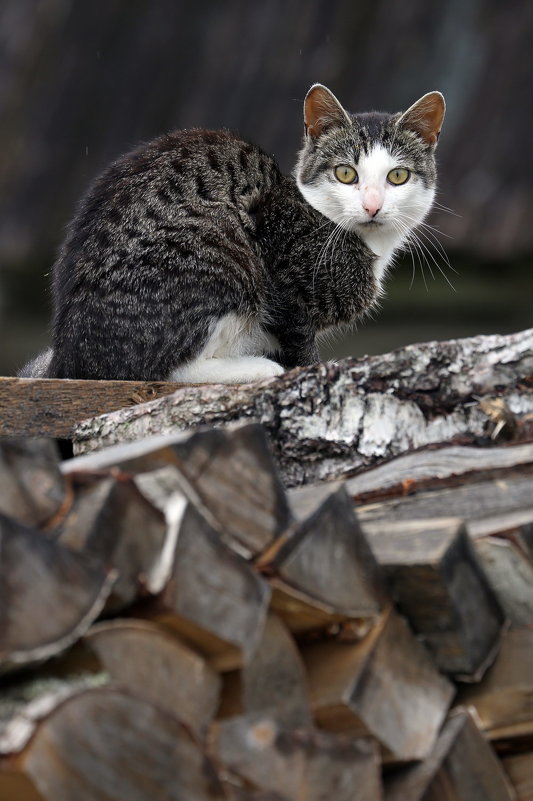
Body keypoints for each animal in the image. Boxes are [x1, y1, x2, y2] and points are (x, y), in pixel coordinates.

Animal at [19, 83, 444, 382]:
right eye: (345, 173)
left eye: (398, 176)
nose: (372, 206)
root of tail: (68, 356)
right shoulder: (284, 279)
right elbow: (300, 344)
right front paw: (302, 369)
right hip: (223, 252)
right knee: (161, 369)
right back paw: (256, 367)